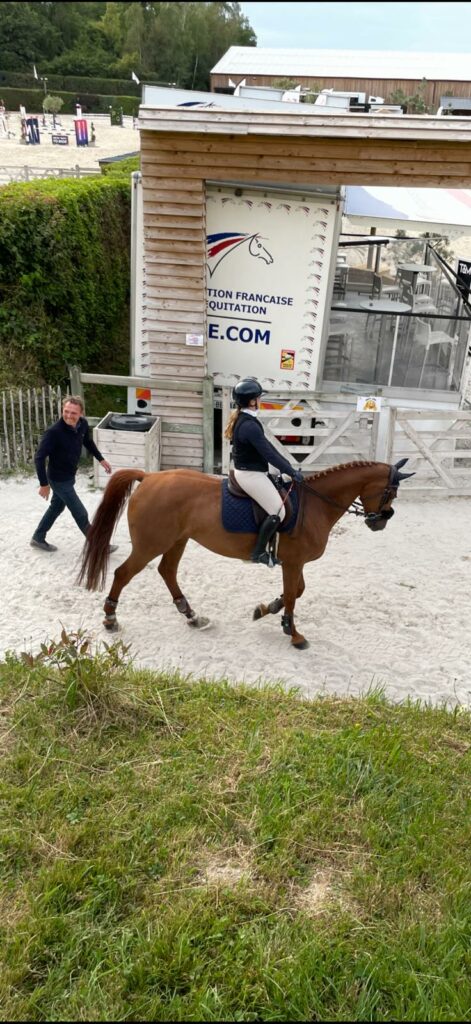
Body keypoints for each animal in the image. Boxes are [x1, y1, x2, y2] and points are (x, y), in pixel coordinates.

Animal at [78, 459, 414, 651]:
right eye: (391, 491)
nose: (381, 521)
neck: (317, 504)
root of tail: (148, 476)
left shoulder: (295, 562)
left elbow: (296, 591)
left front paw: (266, 609)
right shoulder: (293, 562)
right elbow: (293, 595)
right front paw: (293, 634)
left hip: (177, 540)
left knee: (167, 572)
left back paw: (193, 616)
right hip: (151, 543)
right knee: (123, 573)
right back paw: (110, 618)